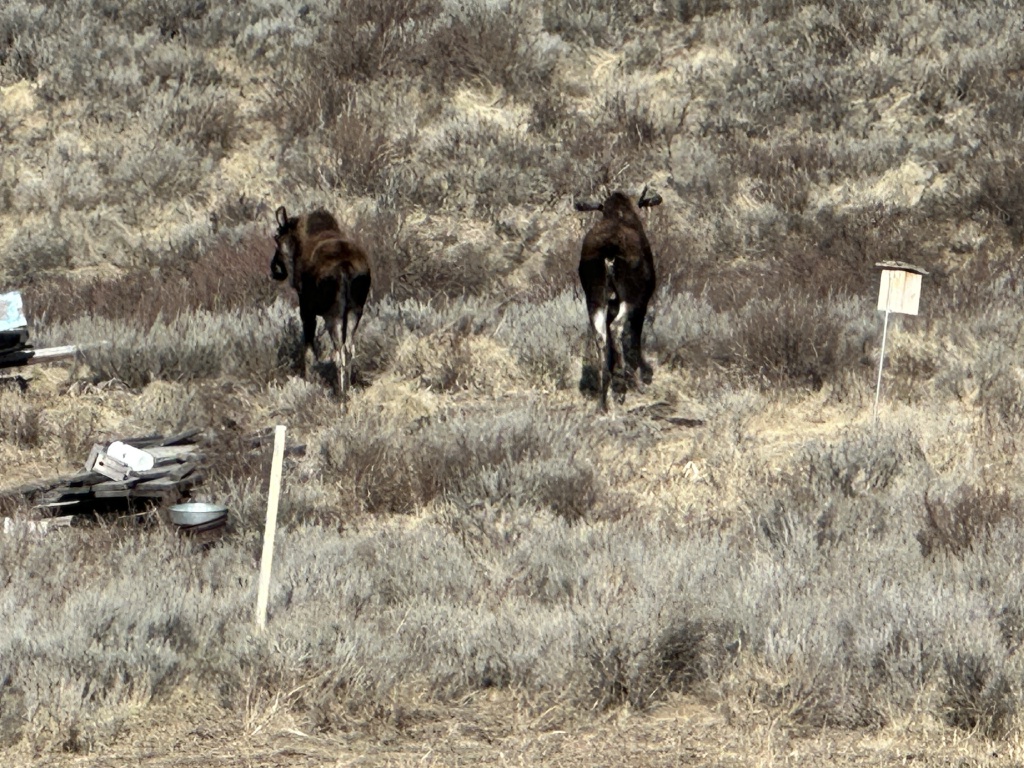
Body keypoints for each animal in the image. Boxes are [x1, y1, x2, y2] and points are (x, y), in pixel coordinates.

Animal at [270, 206, 372, 402]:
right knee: (349, 349)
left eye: (277, 237)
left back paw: (341, 398)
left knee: (339, 352)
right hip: (355, 310)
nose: (275, 268)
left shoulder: (306, 309)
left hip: (334, 314)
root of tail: (346, 269)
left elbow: (309, 352)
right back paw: (347, 392)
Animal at [574, 186, 662, 411]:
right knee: (617, 327)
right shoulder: (643, 300)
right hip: (629, 296)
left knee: (600, 336)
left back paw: (603, 400)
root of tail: (609, 252)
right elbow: (635, 336)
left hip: (595, 298)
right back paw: (629, 383)